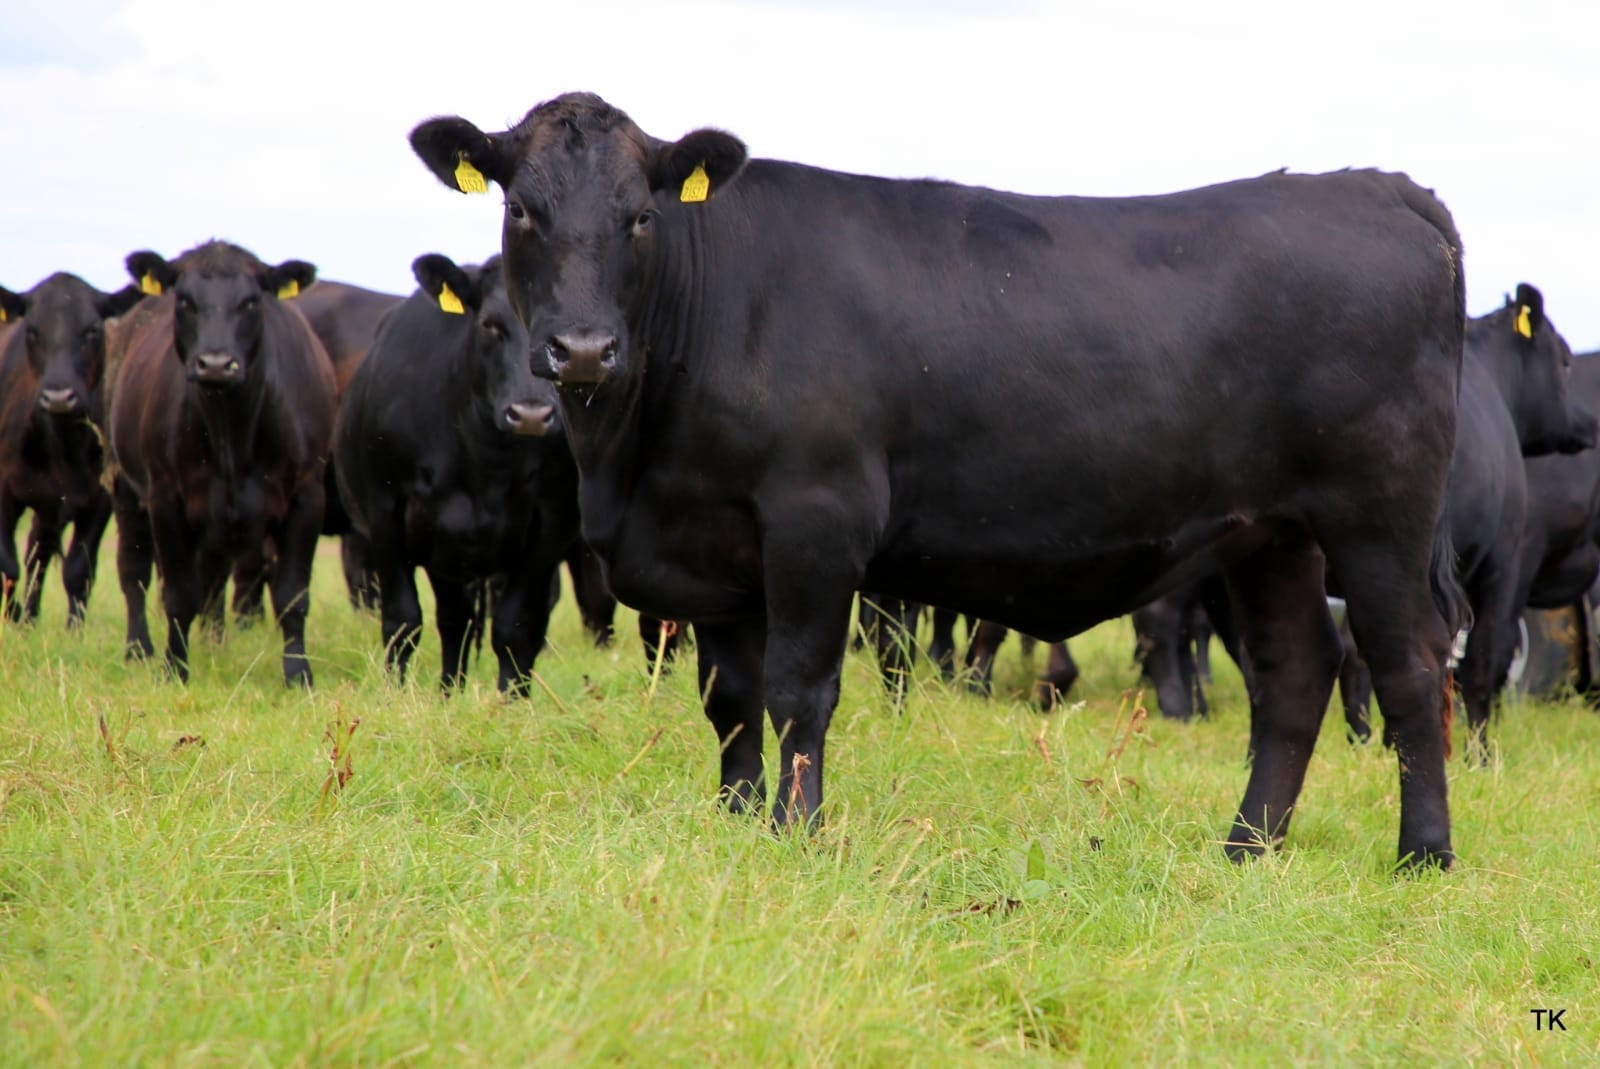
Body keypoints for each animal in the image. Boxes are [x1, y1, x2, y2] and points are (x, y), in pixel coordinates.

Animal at [0, 274, 142, 623]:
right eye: (32, 330)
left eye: (92, 330)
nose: (59, 396)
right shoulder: (4, 492)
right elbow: (6, 564)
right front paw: (12, 617)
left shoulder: (98, 498)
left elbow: (78, 571)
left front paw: (74, 629)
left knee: (38, 551)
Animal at [107, 241, 335, 686]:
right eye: (185, 300)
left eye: (251, 301)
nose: (214, 363)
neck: (232, 430)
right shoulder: (165, 497)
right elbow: (179, 593)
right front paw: (174, 669)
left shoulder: (307, 496)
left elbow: (292, 595)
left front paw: (298, 674)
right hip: (124, 485)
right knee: (134, 571)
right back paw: (138, 649)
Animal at [334, 253, 594, 694]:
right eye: (490, 323)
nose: (531, 414)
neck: (485, 460)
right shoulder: (387, 514)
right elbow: (403, 620)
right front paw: (394, 694)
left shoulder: (550, 528)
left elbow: (516, 628)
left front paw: (511, 701)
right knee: (454, 620)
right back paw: (448, 691)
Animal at [411, 92, 1468, 867]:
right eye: (520, 209)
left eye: (640, 216)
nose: (584, 348)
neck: (632, 462)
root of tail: (1378, 187)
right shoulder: (713, 546)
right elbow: (729, 696)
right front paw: (738, 819)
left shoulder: (816, 519)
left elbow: (799, 688)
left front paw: (796, 832)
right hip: (1271, 532)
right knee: (1296, 672)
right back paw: (1248, 847)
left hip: (1379, 515)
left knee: (1409, 664)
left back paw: (1422, 854)